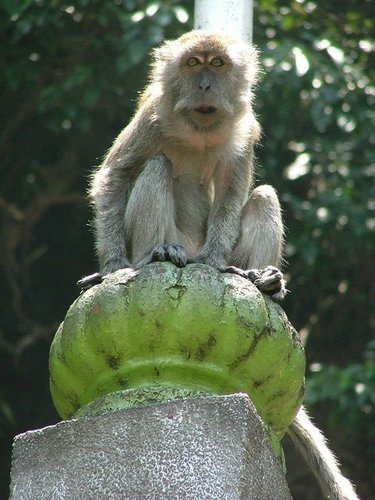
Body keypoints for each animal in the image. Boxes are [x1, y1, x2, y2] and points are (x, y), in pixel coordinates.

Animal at [78, 32, 360, 500]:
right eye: (193, 64)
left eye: (219, 64)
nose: (206, 86)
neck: (199, 132)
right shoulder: (152, 115)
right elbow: (115, 175)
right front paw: (113, 266)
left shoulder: (245, 131)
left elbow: (232, 192)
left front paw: (216, 265)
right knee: (156, 167)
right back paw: (157, 256)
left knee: (263, 195)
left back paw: (261, 282)